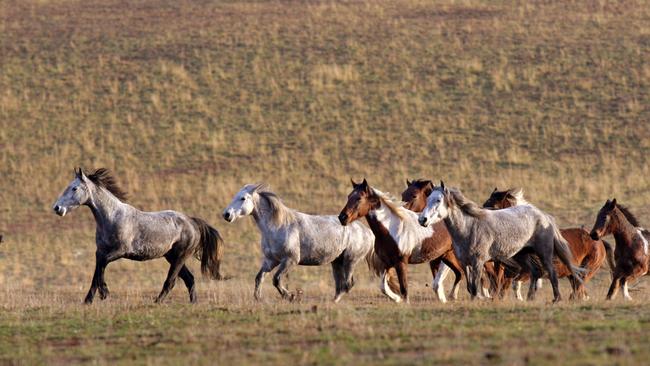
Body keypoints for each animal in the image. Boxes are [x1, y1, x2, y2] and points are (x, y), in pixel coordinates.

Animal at [52, 169, 223, 304]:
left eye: (74, 188)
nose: (57, 208)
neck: (112, 217)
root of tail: (192, 221)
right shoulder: (100, 251)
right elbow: (97, 272)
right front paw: (89, 300)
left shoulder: (120, 251)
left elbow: (102, 266)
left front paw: (104, 293)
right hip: (172, 257)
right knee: (190, 279)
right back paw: (193, 303)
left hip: (180, 257)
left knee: (171, 281)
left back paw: (157, 302)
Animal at [223, 184, 374, 302]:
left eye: (243, 198)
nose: (226, 215)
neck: (278, 226)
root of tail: (368, 232)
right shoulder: (271, 260)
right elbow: (259, 278)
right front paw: (258, 298)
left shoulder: (290, 260)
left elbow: (276, 279)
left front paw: (290, 296)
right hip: (337, 261)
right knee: (341, 284)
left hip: (350, 260)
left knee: (347, 284)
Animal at [420, 182, 584, 302]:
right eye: (427, 199)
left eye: (438, 200)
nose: (422, 219)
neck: (469, 227)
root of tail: (544, 216)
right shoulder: (465, 263)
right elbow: (470, 287)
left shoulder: (478, 262)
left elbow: (475, 287)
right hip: (522, 254)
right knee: (535, 271)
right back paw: (530, 298)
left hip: (544, 253)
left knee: (551, 273)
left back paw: (556, 299)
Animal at [480, 189, 612, 300]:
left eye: (493, 205)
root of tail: (600, 242)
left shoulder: (524, 271)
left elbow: (513, 286)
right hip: (571, 274)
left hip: (585, 271)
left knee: (578, 291)